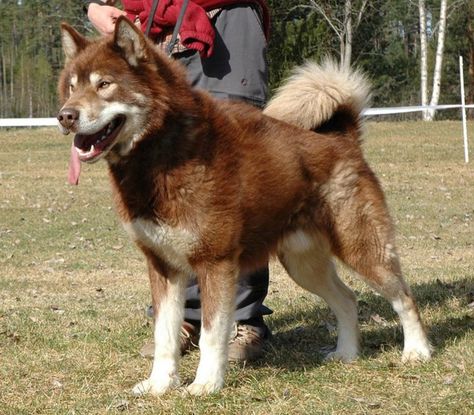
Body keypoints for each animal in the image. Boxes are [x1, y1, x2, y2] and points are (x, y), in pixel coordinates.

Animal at [57, 17, 432, 398]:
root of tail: (343, 139)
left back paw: (417, 351)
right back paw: (347, 353)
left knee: (404, 297)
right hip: (302, 263)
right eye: (71, 87)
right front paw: (160, 384)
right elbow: (164, 335)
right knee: (347, 299)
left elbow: (212, 334)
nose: (65, 116)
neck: (162, 153)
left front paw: (206, 384)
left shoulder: (216, 263)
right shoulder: (164, 267)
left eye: (104, 84)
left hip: (361, 248)